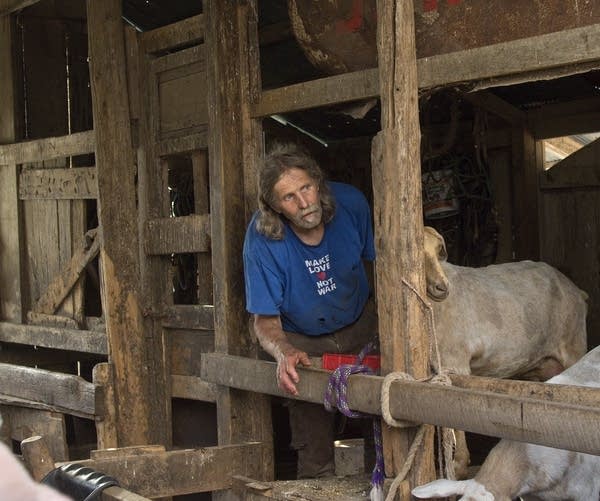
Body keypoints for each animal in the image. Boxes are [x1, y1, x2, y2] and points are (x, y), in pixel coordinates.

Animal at [422, 227, 584, 476]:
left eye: (439, 249)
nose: (442, 287)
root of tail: (577, 291)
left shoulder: (456, 362)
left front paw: (459, 465)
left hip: (575, 345)